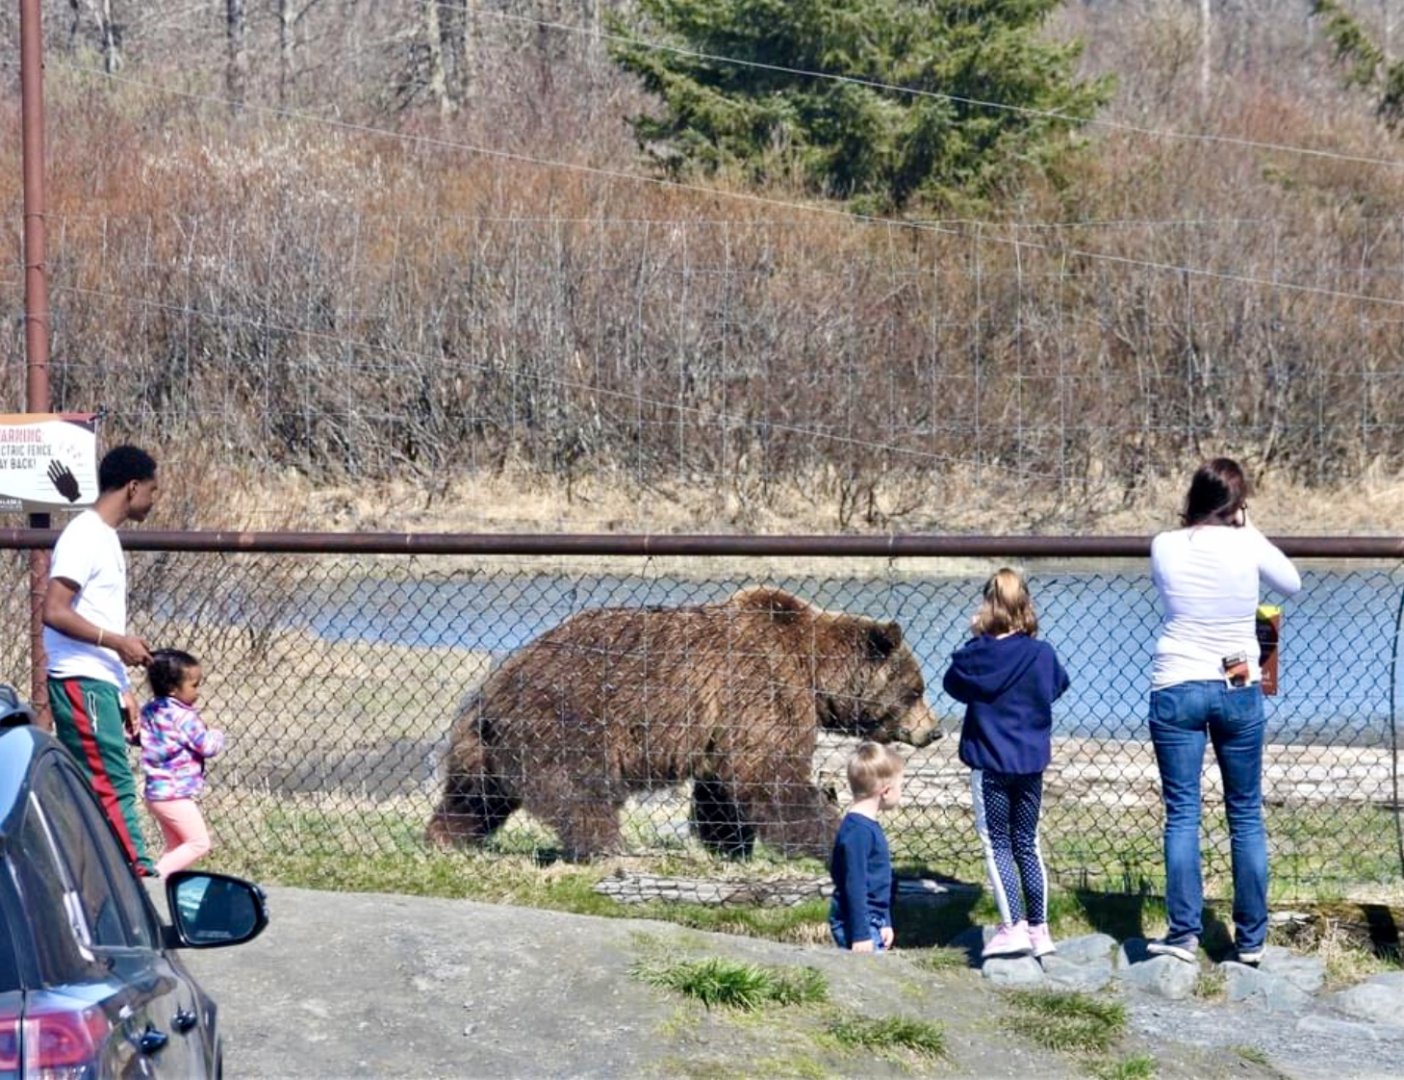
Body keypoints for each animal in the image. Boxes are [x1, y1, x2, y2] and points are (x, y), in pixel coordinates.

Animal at [425, 585, 940, 861]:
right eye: (916, 689)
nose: (932, 729)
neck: (813, 671)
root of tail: (496, 682)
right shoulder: (762, 688)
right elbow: (770, 776)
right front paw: (826, 836)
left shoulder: (725, 723)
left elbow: (723, 789)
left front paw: (727, 845)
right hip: (569, 720)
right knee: (583, 791)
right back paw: (608, 846)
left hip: (485, 743)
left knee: (474, 795)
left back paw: (447, 839)